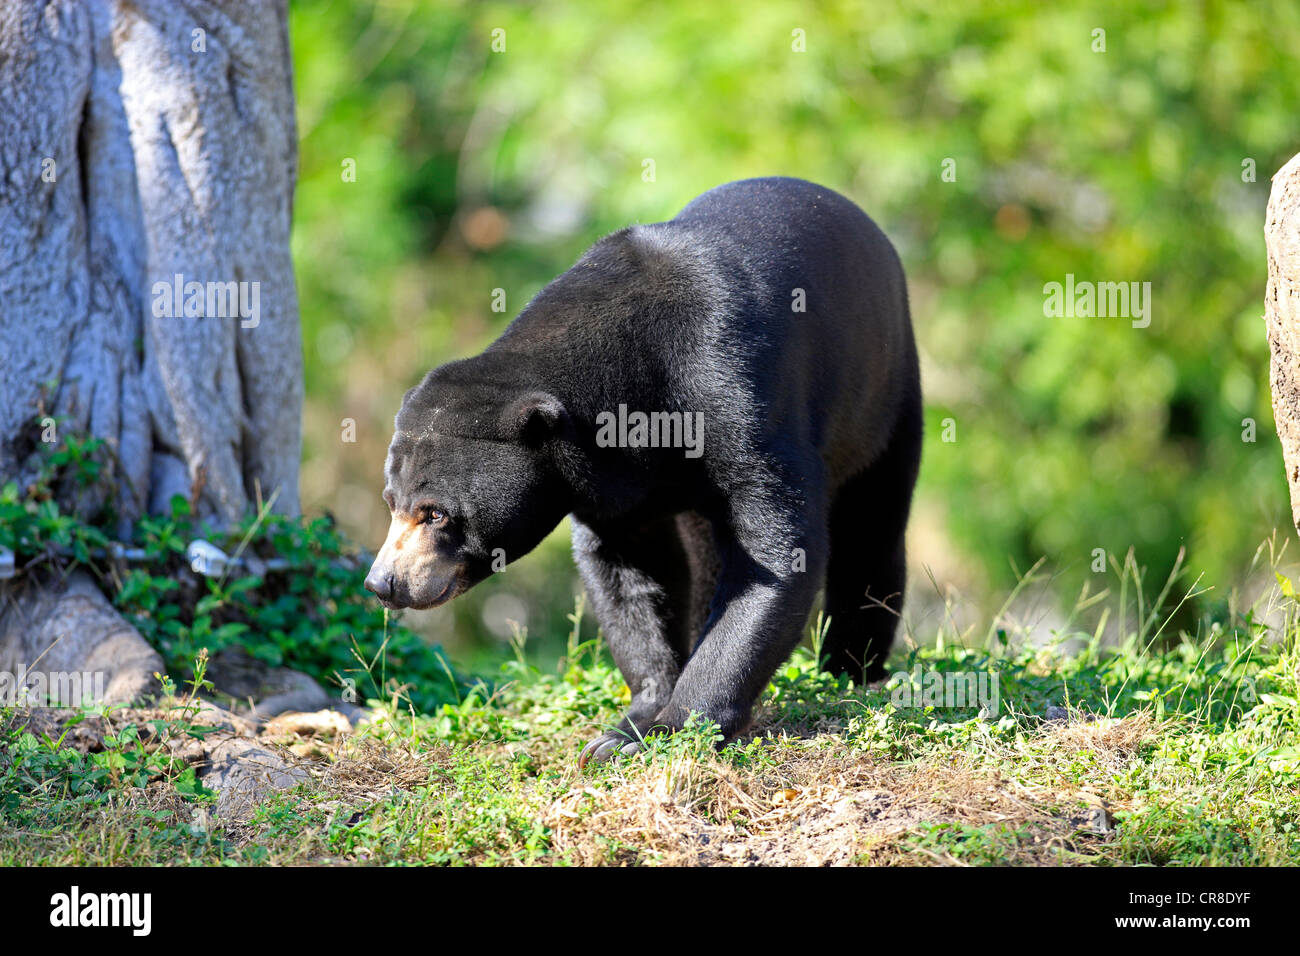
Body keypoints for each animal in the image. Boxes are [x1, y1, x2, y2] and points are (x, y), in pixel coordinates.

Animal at [364, 176, 922, 766]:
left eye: (436, 514)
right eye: (391, 502)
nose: (383, 583)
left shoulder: (733, 388)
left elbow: (776, 546)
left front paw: (672, 726)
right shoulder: (607, 482)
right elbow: (628, 572)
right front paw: (628, 724)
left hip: (883, 392)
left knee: (872, 526)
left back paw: (851, 669)